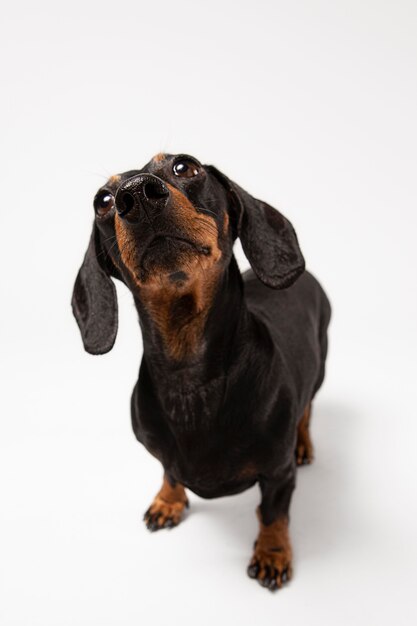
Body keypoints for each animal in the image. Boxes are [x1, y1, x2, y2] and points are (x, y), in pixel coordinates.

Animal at [72, 152, 332, 588]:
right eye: (102, 201)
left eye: (185, 167)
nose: (135, 195)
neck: (189, 378)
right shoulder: (162, 454)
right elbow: (169, 471)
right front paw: (168, 502)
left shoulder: (278, 475)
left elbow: (273, 514)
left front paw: (273, 553)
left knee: (307, 410)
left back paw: (303, 443)